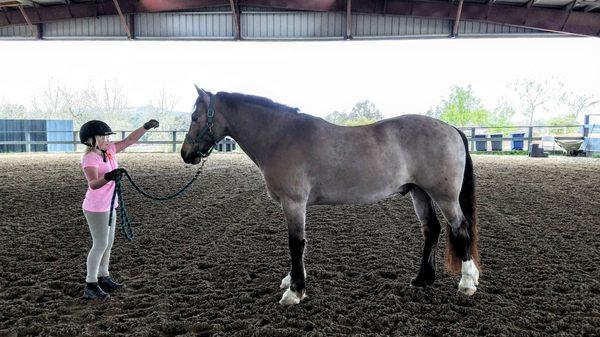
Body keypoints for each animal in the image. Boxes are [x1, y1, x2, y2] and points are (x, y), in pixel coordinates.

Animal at [180, 86, 480, 304]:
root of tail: (451, 129)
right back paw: (422, 279)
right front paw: (292, 280)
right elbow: (299, 245)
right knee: (432, 230)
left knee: (460, 228)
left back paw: (466, 282)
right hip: (420, 193)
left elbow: (295, 243)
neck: (281, 137)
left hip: (444, 196)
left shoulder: (293, 203)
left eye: (195, 118)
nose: (186, 154)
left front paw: (295, 291)